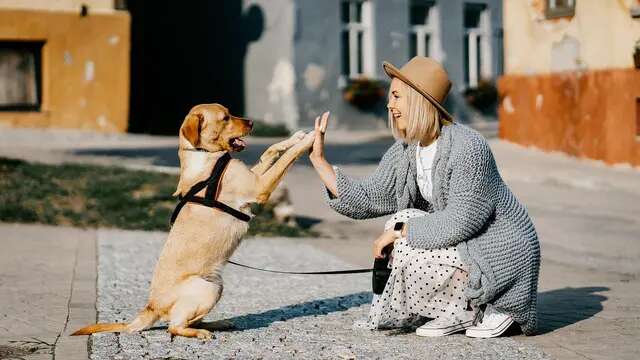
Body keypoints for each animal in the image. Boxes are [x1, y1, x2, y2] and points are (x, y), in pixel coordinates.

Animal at [71, 104, 316, 340]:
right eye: (225, 118)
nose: (252, 122)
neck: (204, 156)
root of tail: (150, 307)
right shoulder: (258, 187)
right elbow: (286, 159)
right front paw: (310, 139)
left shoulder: (253, 176)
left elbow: (271, 150)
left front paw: (295, 137)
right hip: (206, 288)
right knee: (174, 326)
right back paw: (200, 333)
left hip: (216, 285)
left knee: (187, 321)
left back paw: (218, 324)